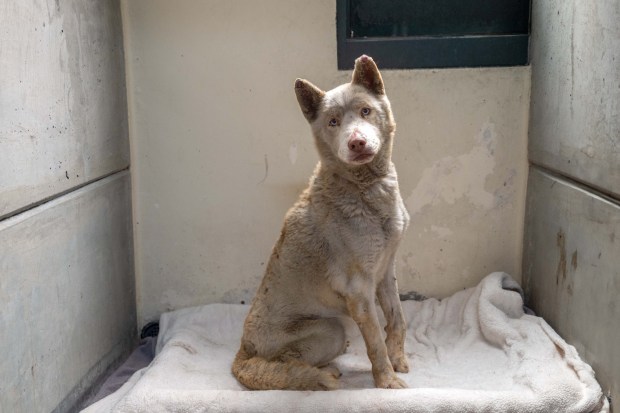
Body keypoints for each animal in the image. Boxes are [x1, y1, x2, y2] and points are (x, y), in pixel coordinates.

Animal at [232, 54, 412, 390]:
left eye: (365, 111)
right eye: (333, 122)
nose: (356, 143)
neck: (365, 189)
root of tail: (242, 351)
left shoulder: (385, 271)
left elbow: (397, 319)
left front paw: (398, 360)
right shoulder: (359, 290)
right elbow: (375, 343)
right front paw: (386, 381)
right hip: (332, 329)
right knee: (280, 368)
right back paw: (320, 375)